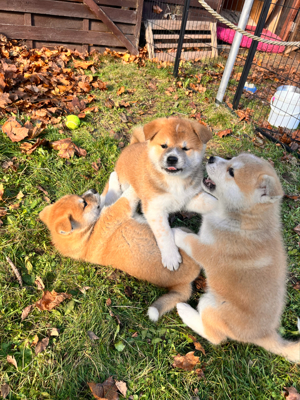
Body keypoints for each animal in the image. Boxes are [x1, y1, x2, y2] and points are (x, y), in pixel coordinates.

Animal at [112, 117, 213, 270]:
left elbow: (211, 202)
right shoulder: (155, 208)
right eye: (164, 146)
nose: (172, 159)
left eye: (185, 148)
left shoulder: (191, 197)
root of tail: (133, 144)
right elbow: (164, 233)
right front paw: (171, 256)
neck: (174, 181)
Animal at [173, 152, 300, 362]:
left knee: (214, 336)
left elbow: (190, 240)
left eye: (231, 172)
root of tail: (264, 334)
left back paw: (186, 312)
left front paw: (175, 233)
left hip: (210, 304)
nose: (211, 158)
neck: (244, 221)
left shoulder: (207, 252)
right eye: (230, 159)